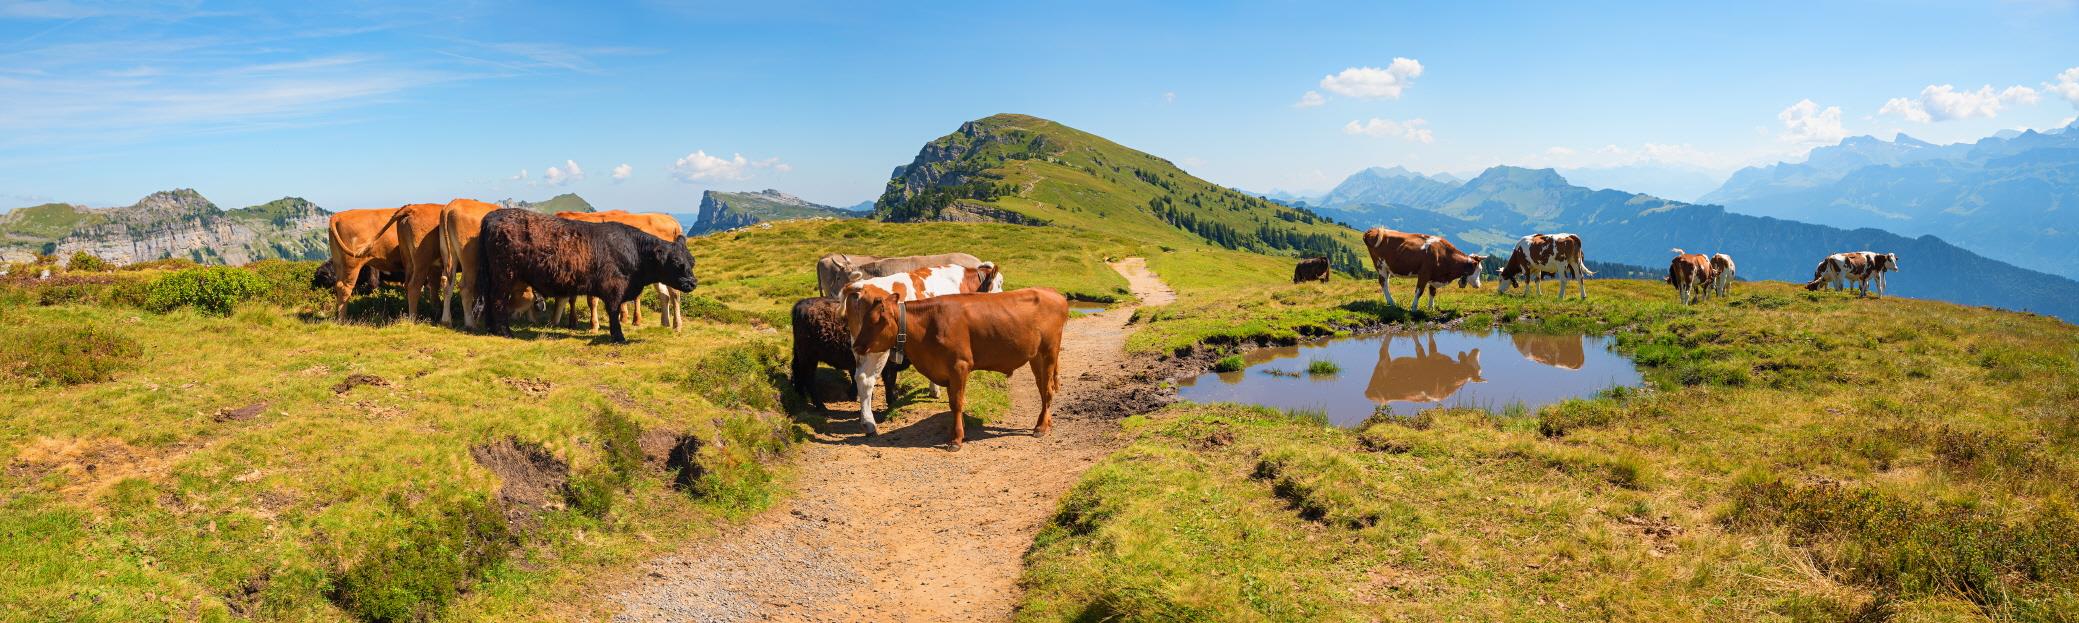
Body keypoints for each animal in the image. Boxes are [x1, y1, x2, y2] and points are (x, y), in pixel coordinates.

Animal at [471, 211, 698, 342]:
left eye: (692, 261)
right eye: (677, 264)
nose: (693, 283)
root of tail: (492, 216)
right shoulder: (613, 289)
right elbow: (613, 312)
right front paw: (618, 337)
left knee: (489, 300)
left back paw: (491, 329)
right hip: (504, 275)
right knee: (497, 300)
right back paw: (505, 332)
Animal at [844, 286, 1072, 448]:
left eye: (874, 321)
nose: (856, 345)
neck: (929, 324)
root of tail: (1053, 293)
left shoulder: (959, 366)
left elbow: (958, 403)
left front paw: (957, 439)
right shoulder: (946, 371)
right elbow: (952, 403)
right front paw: (952, 434)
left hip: (1049, 351)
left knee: (1048, 390)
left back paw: (1041, 427)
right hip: (1036, 357)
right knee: (1043, 388)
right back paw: (1045, 422)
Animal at [1355, 226, 1488, 311]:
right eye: (1479, 270)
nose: (1479, 285)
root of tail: (1374, 230)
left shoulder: (1435, 275)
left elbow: (1432, 292)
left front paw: (1431, 308)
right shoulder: (1424, 273)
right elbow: (1419, 291)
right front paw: (1414, 308)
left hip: (1387, 268)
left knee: (1385, 282)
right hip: (1380, 265)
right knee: (1383, 283)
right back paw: (1392, 303)